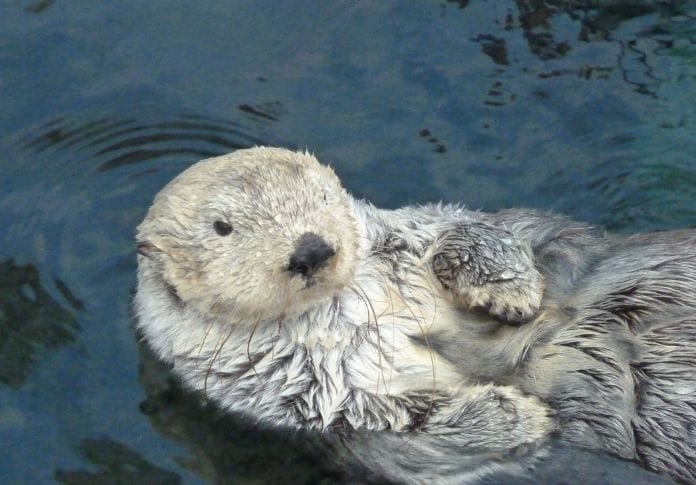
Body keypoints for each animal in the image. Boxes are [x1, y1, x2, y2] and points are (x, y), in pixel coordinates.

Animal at [135, 147, 695, 483]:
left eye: (322, 196)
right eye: (222, 227)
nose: (311, 250)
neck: (342, 306)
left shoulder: (406, 230)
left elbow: (466, 228)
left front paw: (510, 289)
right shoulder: (294, 394)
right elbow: (398, 422)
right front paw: (518, 413)